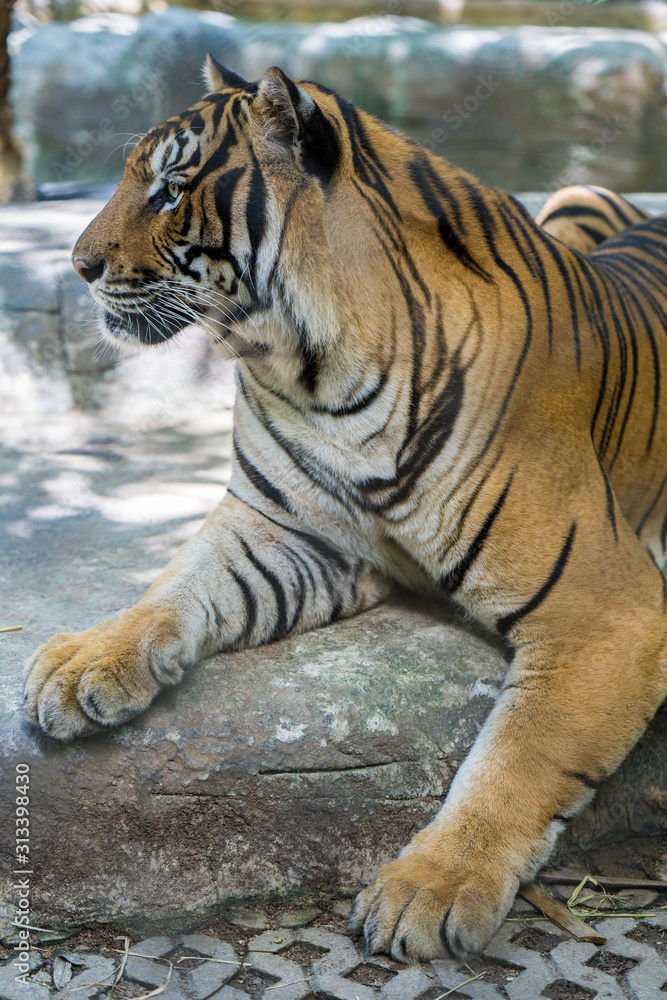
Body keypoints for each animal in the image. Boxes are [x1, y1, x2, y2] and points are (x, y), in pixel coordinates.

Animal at [23, 59, 667, 963]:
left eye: (169, 189)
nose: (78, 266)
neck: (312, 369)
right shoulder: (287, 532)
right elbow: (175, 584)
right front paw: (84, 662)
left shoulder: (607, 608)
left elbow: (515, 755)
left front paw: (430, 887)